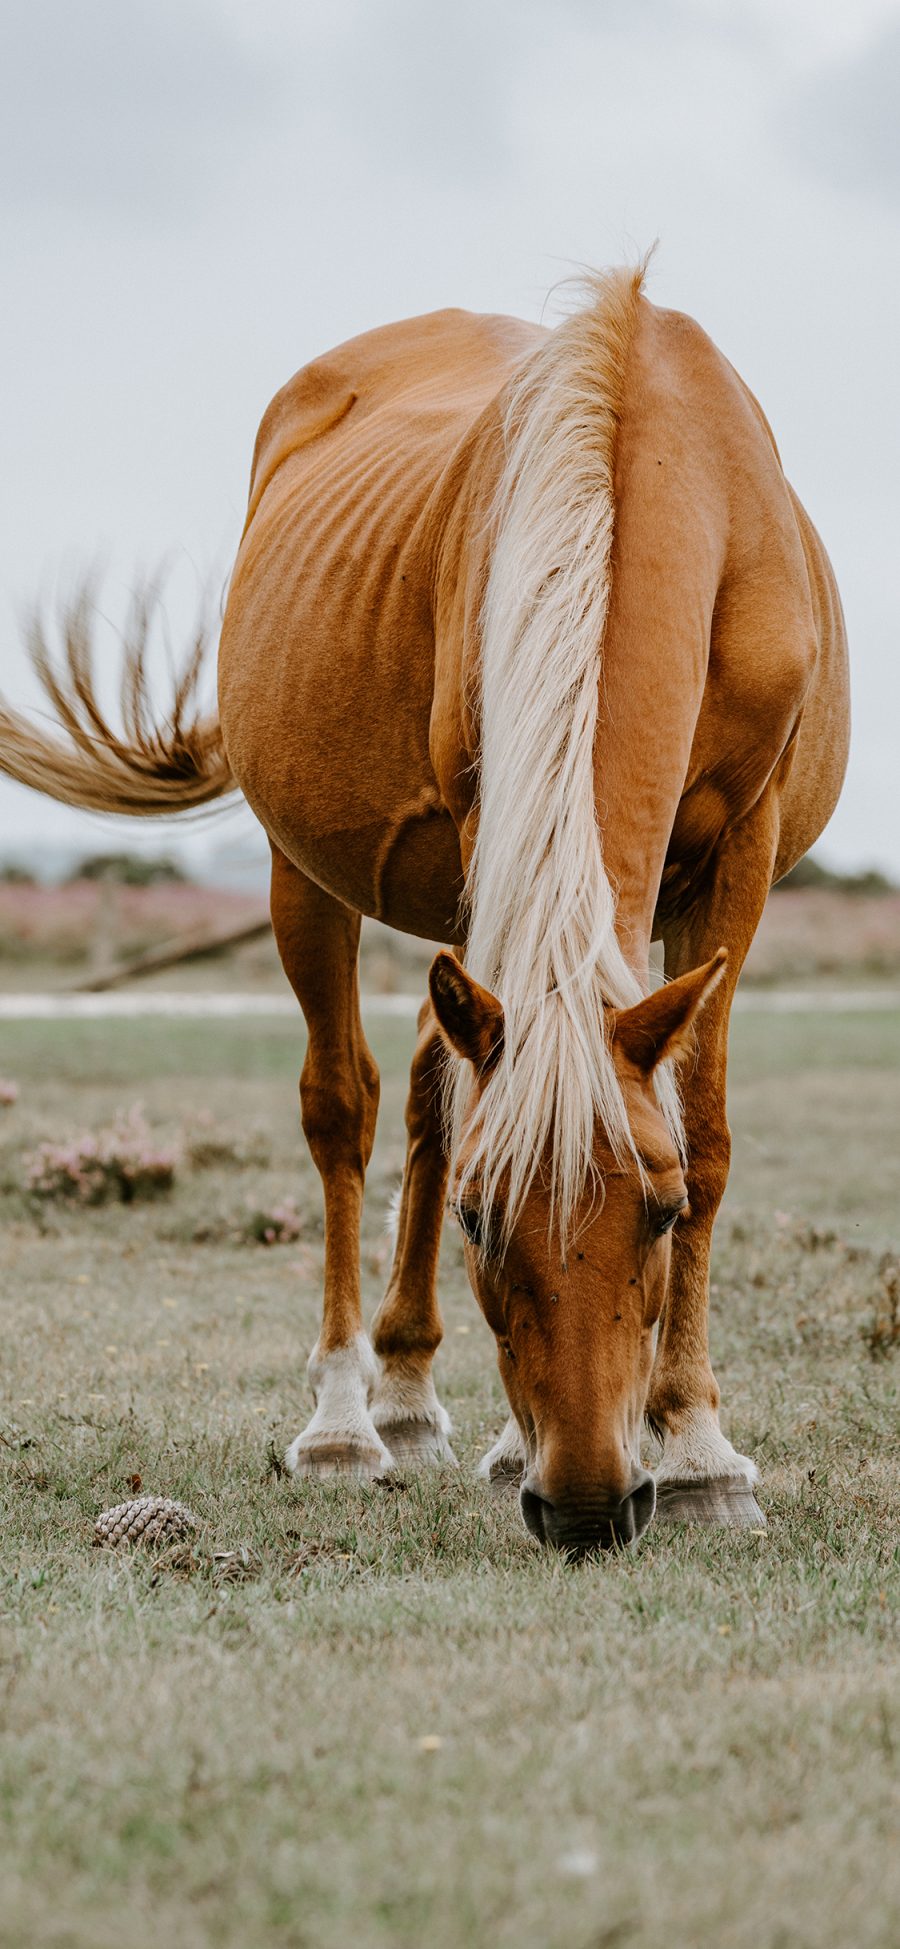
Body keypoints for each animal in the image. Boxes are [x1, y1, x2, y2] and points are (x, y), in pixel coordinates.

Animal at [0, 267, 845, 1559]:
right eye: (481, 1221)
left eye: (657, 1215)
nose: (587, 1504)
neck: (650, 459)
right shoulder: (484, 813)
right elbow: (436, 1116)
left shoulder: (736, 862)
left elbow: (700, 1129)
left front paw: (700, 1450)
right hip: (308, 870)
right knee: (346, 1106)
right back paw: (356, 1417)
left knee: (428, 1080)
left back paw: (424, 1404)